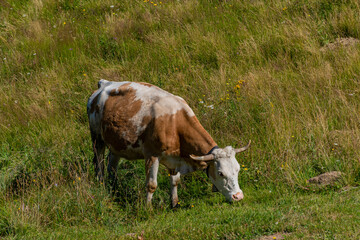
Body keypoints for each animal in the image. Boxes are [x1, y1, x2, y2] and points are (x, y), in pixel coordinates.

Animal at [87, 79, 250, 207]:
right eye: (221, 173)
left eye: (238, 169)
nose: (238, 196)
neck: (174, 123)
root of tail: (104, 83)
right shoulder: (152, 155)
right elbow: (151, 185)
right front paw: (147, 209)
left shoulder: (175, 158)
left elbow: (175, 181)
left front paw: (174, 203)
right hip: (97, 138)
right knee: (99, 164)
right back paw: (101, 185)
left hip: (116, 145)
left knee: (112, 165)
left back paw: (113, 188)